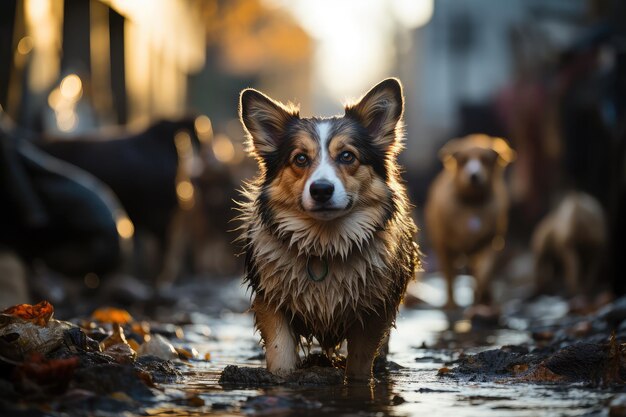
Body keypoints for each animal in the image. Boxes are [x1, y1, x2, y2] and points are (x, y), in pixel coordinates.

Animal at [236, 78, 416, 380]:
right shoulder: (270, 302)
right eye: (300, 159)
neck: (325, 246)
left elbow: (360, 365)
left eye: (347, 156)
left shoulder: (375, 312)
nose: (321, 190)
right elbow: (280, 355)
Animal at [422, 134, 516, 308]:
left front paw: (483, 298)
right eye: (463, 160)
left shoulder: (489, 243)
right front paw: (451, 304)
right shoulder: (445, 247)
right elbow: (450, 277)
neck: (472, 203)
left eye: (485, 160)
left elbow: (484, 273)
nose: (474, 175)